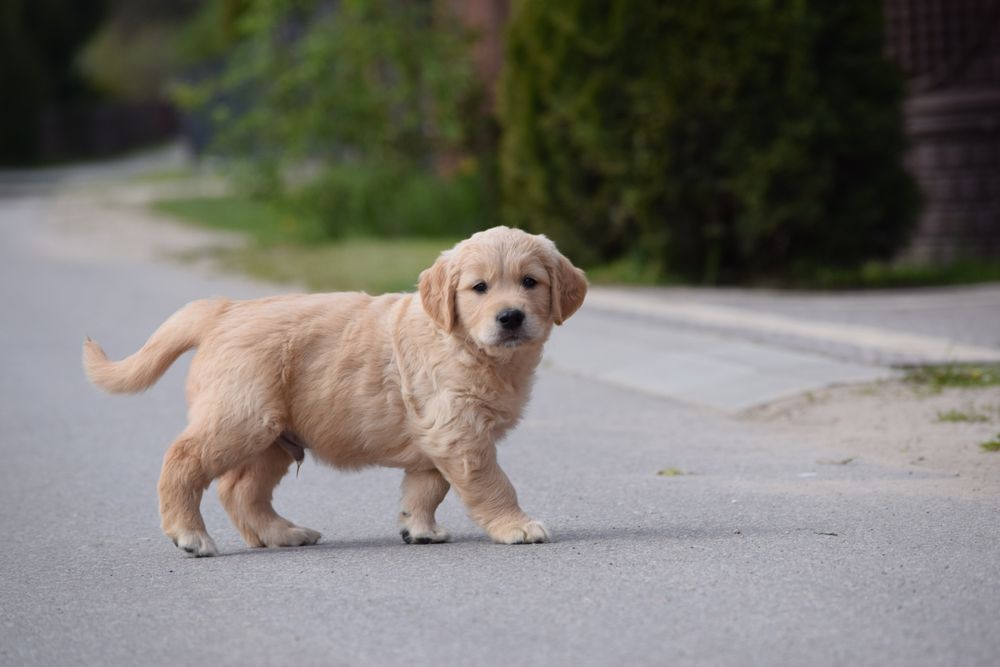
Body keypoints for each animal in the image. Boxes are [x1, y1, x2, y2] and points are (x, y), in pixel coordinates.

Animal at [86, 227, 588, 556]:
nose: (511, 317)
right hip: (241, 418)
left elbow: (428, 487)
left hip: (275, 437)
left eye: (530, 282)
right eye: (479, 288)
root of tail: (224, 310)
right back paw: (189, 534)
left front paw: (419, 528)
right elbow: (491, 483)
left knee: (241, 490)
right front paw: (516, 526)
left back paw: (283, 534)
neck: (467, 345)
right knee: (184, 459)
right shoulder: (459, 431)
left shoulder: (437, 436)